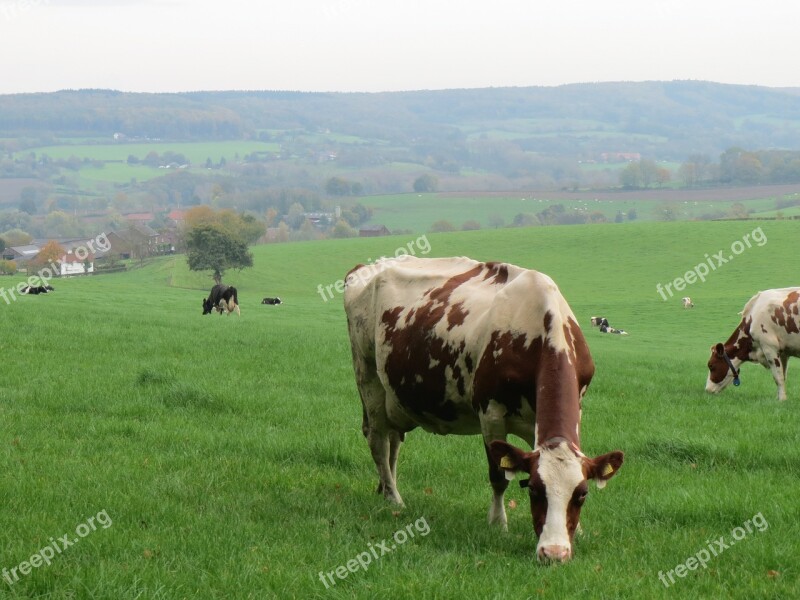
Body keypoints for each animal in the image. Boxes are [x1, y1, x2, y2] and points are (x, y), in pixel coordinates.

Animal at [344, 256, 624, 564]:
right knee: (378, 441)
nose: (553, 553)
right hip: (368, 376)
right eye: (534, 490)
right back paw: (395, 498)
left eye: (582, 494)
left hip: (395, 397)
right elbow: (499, 476)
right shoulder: (491, 414)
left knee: (393, 441)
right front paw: (498, 523)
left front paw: (580, 530)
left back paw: (385, 489)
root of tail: (367, 266)